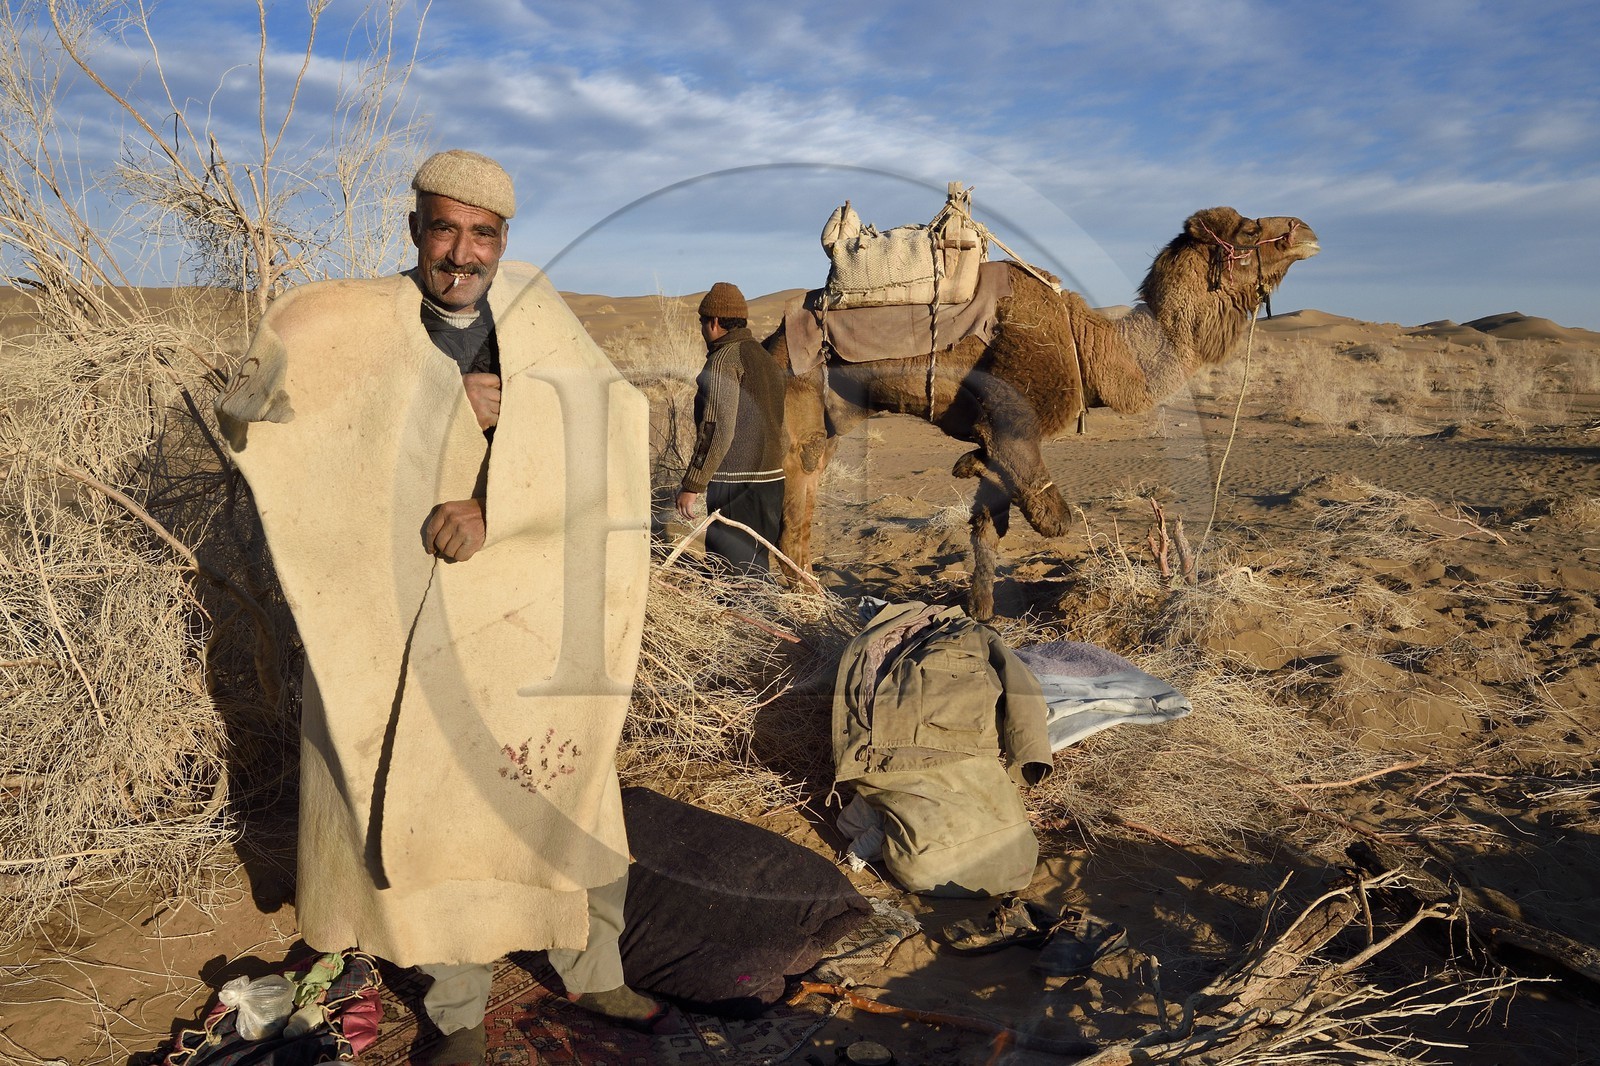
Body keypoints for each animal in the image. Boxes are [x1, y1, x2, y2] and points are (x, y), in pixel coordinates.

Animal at [766, 206, 1321, 620]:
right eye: (1250, 230)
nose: (1307, 231)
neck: (1091, 347)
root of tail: (770, 342)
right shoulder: (1013, 418)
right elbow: (1055, 520)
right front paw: (971, 470)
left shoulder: (1004, 436)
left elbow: (988, 519)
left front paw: (981, 609)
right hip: (797, 401)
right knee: (792, 509)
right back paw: (803, 608)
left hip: (831, 416)